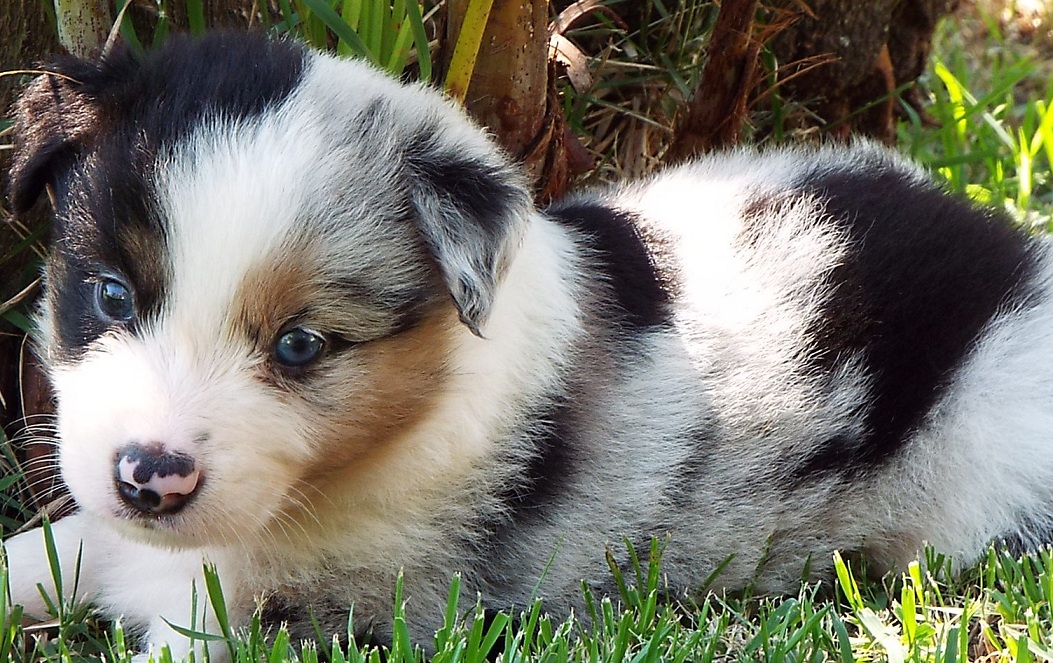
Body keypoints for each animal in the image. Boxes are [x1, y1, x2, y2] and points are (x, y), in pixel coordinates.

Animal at [6, 29, 1053, 660]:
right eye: (109, 294)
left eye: (301, 346)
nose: (150, 478)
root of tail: (1017, 261)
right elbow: (42, 551)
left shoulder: (331, 608)